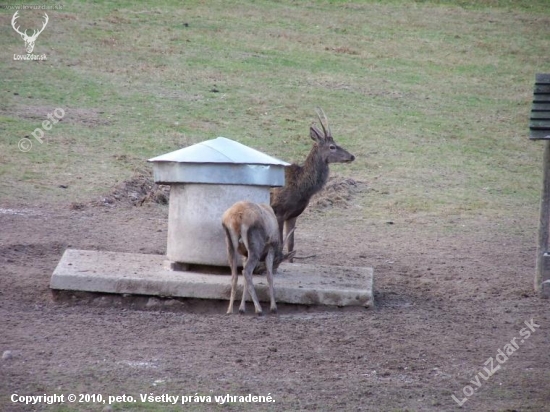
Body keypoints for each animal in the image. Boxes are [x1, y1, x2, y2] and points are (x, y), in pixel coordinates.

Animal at [272, 108, 358, 260]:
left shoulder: (294, 214)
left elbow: (290, 246)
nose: (351, 156)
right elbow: (280, 245)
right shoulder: (279, 210)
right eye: (332, 146)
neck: (301, 187)